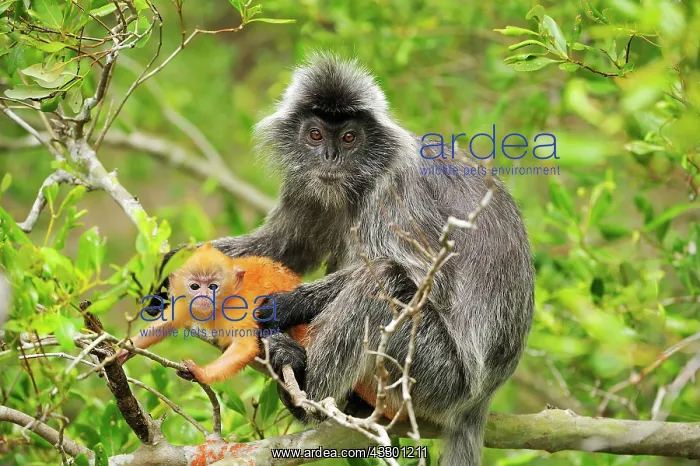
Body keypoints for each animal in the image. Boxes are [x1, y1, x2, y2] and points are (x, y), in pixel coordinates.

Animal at [118, 243, 306, 384]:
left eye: (213, 286)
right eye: (195, 286)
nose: (204, 296)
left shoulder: (237, 306)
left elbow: (244, 346)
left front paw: (200, 373)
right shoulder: (184, 301)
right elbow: (165, 324)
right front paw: (124, 350)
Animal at [155, 53, 534, 465]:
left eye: (350, 138)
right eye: (315, 135)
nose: (331, 157)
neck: (358, 183)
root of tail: (477, 404)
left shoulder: (396, 189)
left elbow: (430, 280)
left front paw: (284, 305)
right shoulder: (306, 186)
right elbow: (285, 246)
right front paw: (172, 271)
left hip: (440, 378)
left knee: (384, 277)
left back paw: (306, 395)